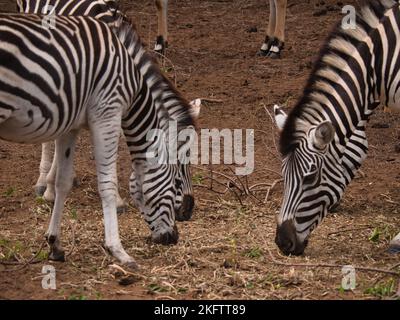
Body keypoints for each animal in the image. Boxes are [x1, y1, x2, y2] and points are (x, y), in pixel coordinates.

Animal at [0, 11, 199, 268]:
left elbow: (64, 182)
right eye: (176, 182)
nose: (174, 237)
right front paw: (118, 250)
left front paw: (55, 243)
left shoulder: (70, 125)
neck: (133, 84)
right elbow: (107, 183)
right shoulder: (108, 114)